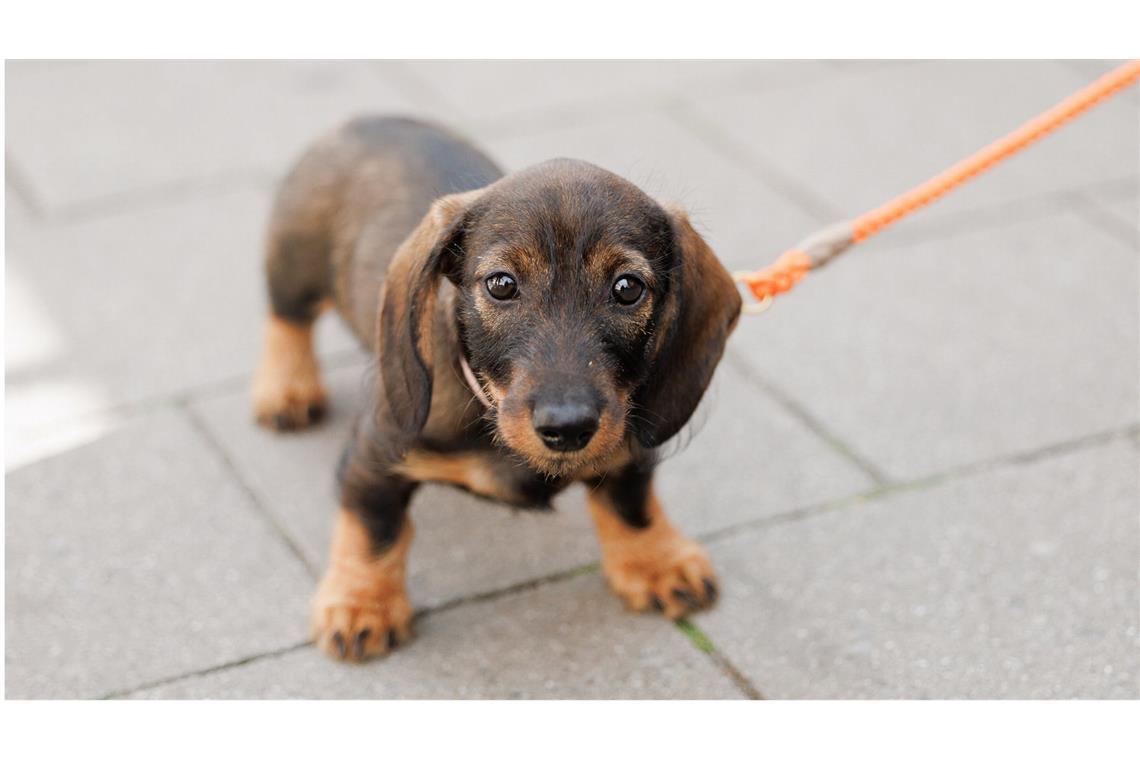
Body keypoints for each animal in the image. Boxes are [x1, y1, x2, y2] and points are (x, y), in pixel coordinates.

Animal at [254, 116, 743, 660]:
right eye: (502, 284)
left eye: (627, 288)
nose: (568, 427)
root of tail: (367, 120)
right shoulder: (374, 454)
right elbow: (373, 529)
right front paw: (362, 603)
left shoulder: (627, 440)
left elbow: (630, 503)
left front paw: (656, 560)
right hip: (294, 264)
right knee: (287, 320)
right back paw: (287, 388)